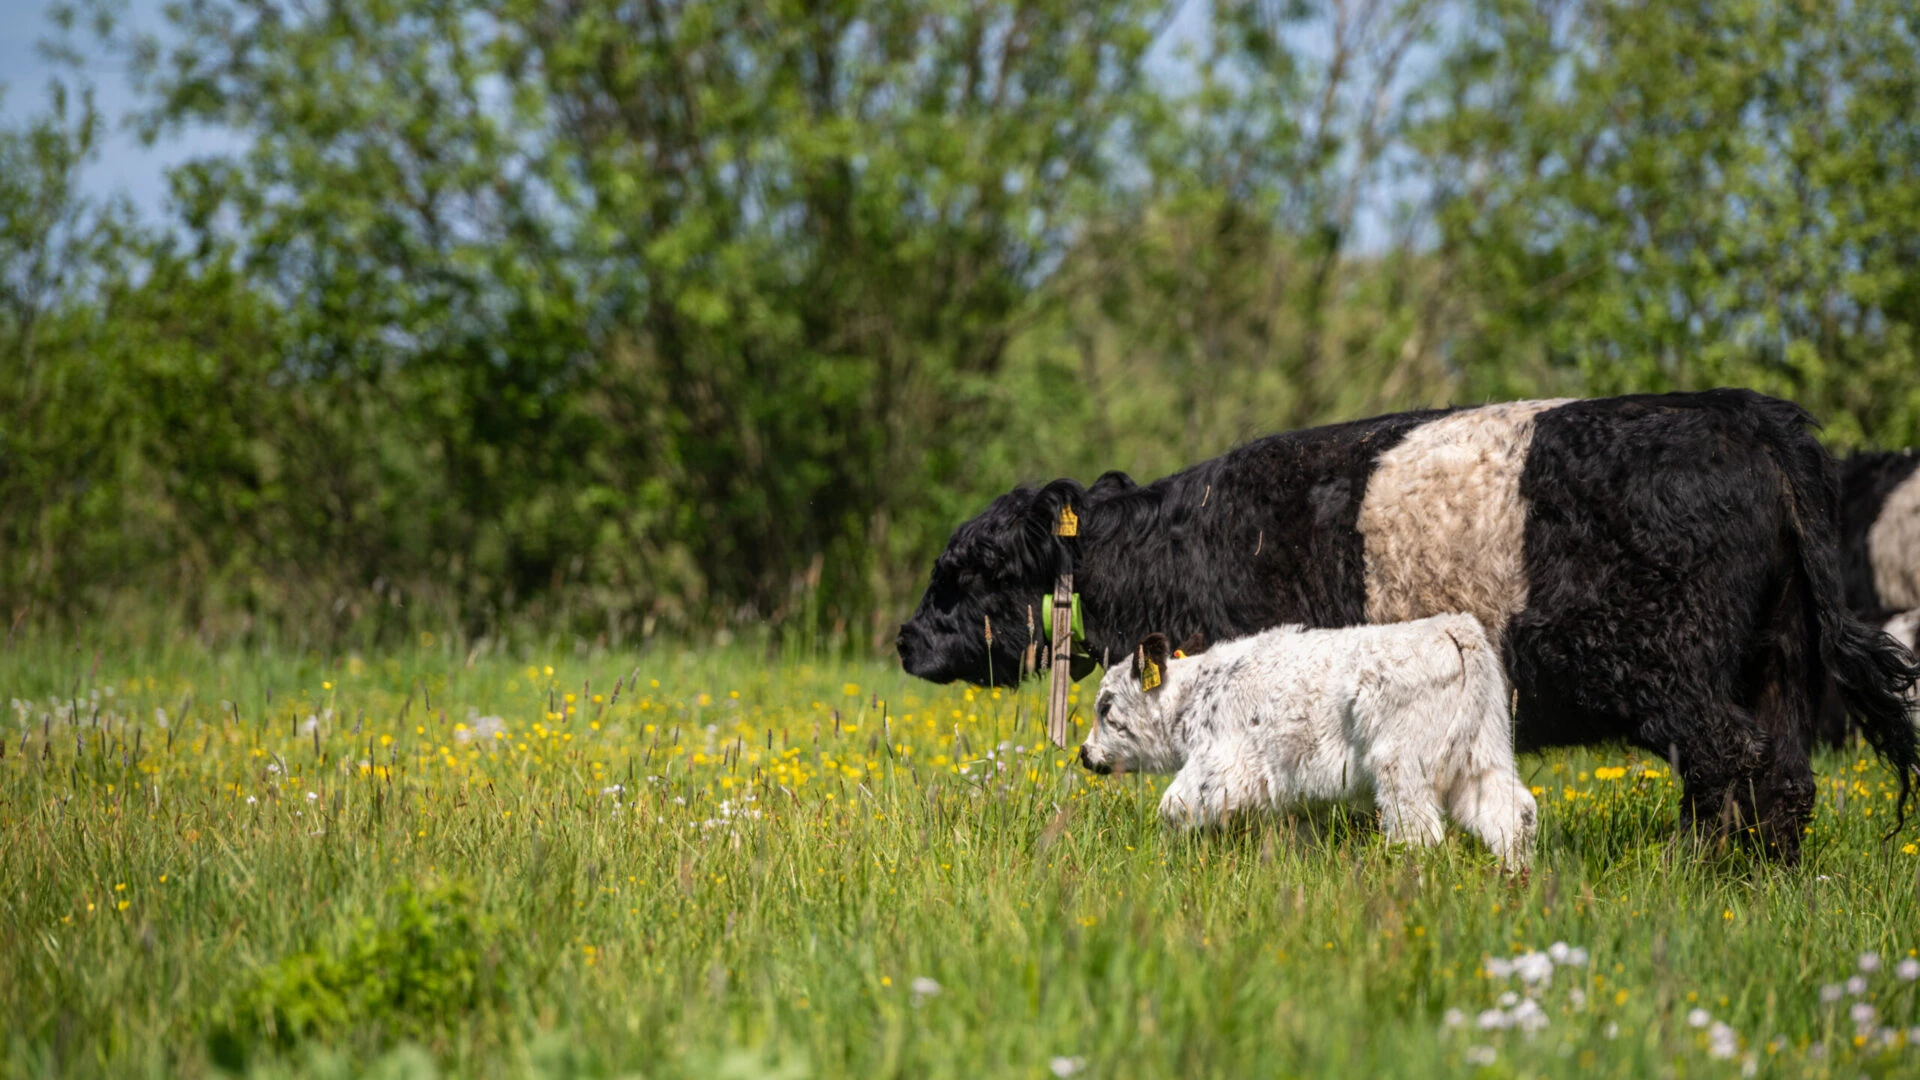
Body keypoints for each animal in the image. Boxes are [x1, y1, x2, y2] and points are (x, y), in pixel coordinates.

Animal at [898, 386, 1920, 857]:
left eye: (967, 570)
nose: (905, 638)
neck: (1175, 544)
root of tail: (1744, 412)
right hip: (1777, 662)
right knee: (1784, 776)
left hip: (1672, 666)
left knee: (1728, 761)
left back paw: (1693, 869)